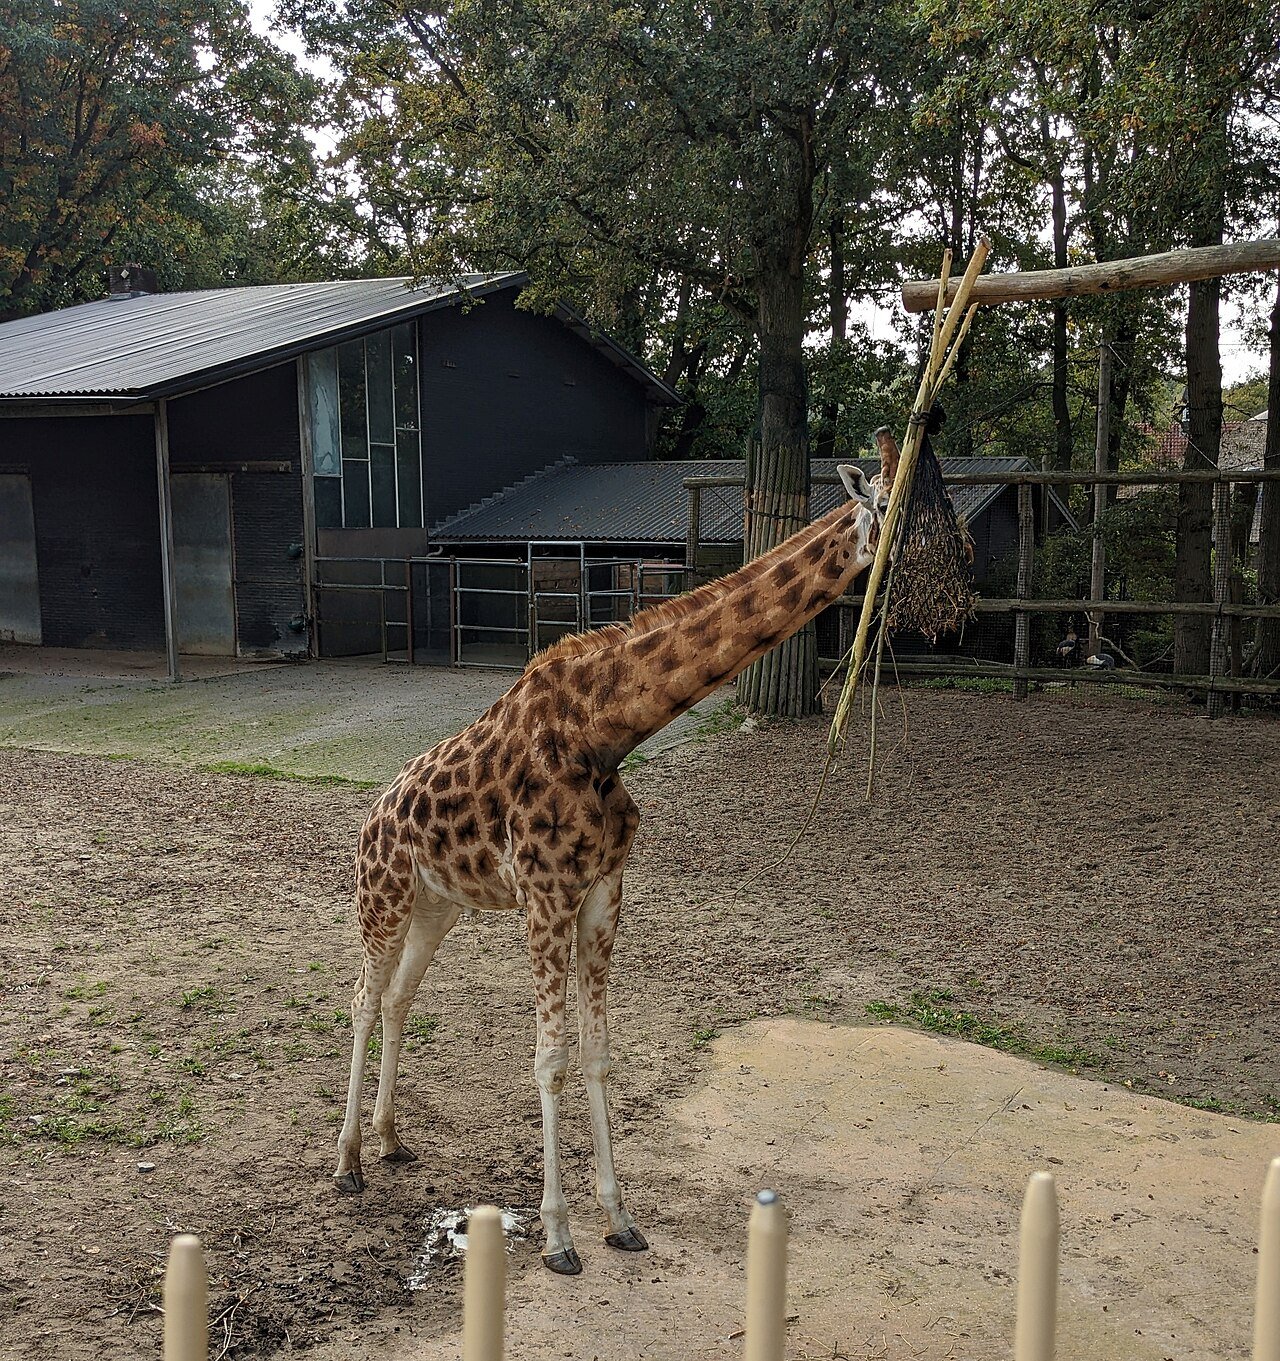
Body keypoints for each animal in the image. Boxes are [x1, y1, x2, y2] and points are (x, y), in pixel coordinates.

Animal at [333, 457, 896, 1274]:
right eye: (889, 509)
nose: (947, 574)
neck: (605, 731)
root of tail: (371, 817)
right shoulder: (544, 898)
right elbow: (551, 1059)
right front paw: (558, 1237)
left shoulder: (603, 894)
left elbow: (598, 1055)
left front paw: (619, 1219)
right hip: (382, 897)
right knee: (363, 999)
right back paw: (346, 1163)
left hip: (439, 907)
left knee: (402, 998)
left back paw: (390, 1140)